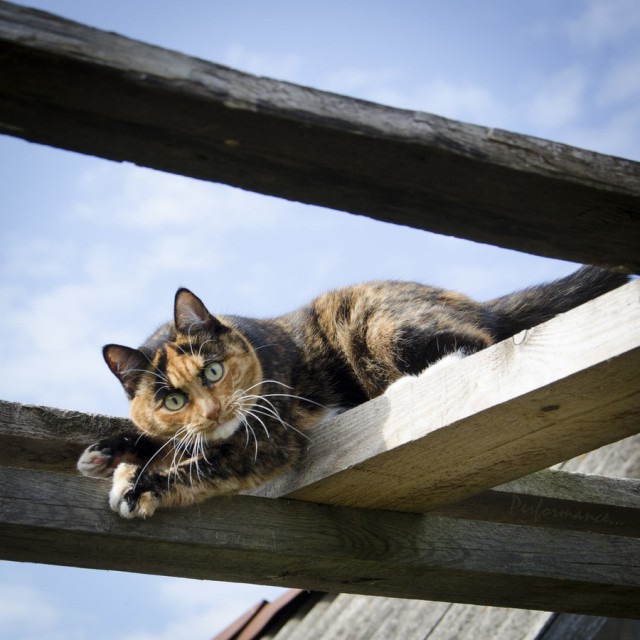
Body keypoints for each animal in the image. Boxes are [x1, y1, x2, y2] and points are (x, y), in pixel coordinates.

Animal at [77, 262, 628, 516]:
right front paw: (109, 452)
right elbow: (165, 440)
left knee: (477, 349)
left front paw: (138, 486)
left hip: (376, 322)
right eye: (172, 399)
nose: (214, 412)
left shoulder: (270, 438)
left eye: (212, 371)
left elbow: (204, 466)